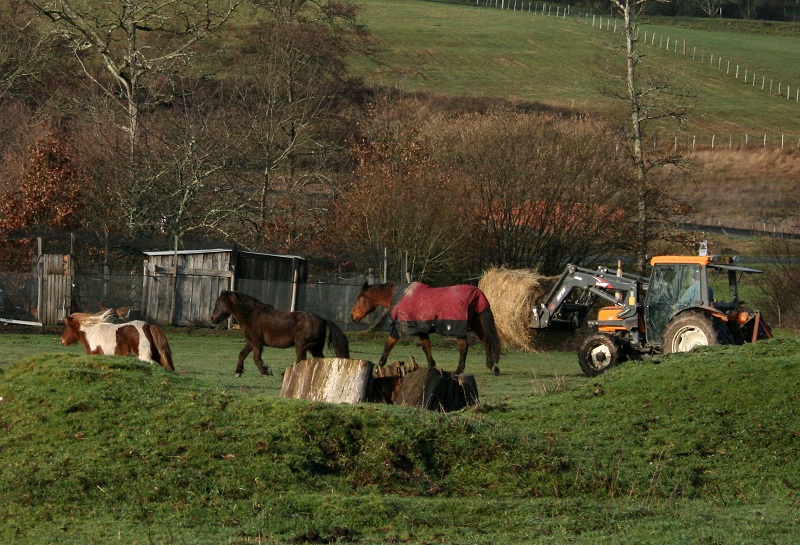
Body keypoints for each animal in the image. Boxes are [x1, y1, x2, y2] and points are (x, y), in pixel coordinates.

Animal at [211, 292, 352, 376]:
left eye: (218, 303)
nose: (213, 319)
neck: (250, 315)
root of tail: (322, 319)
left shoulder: (257, 343)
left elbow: (256, 358)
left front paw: (266, 371)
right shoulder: (251, 342)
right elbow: (242, 354)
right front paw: (238, 372)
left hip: (301, 345)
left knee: (300, 359)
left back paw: (284, 373)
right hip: (314, 348)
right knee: (318, 359)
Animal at [350, 280, 500, 374]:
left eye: (358, 298)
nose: (352, 316)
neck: (399, 296)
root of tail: (476, 294)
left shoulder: (398, 328)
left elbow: (388, 346)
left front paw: (378, 367)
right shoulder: (421, 329)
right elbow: (426, 346)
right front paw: (431, 366)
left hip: (458, 327)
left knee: (464, 347)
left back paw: (458, 370)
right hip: (476, 324)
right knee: (486, 341)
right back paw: (492, 366)